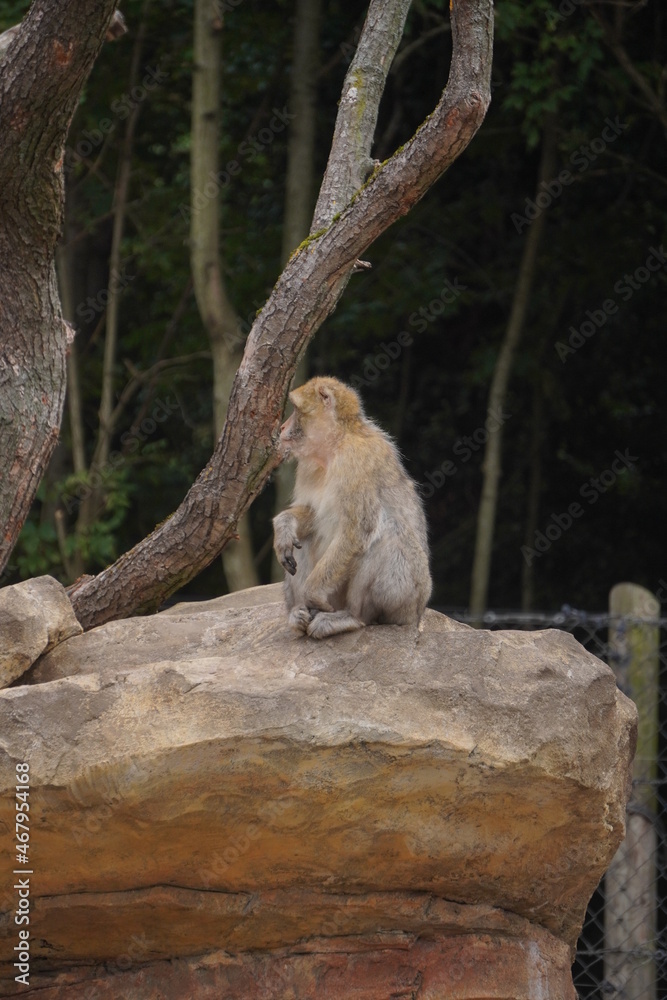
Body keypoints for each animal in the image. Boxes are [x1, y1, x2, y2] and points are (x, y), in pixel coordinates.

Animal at [273, 376, 432, 639]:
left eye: (295, 409)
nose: (283, 427)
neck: (336, 446)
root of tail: (418, 616)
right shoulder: (307, 466)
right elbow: (311, 515)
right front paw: (284, 526)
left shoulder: (356, 460)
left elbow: (358, 530)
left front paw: (312, 593)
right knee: (304, 538)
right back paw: (297, 614)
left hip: (407, 599)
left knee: (389, 532)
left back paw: (353, 618)